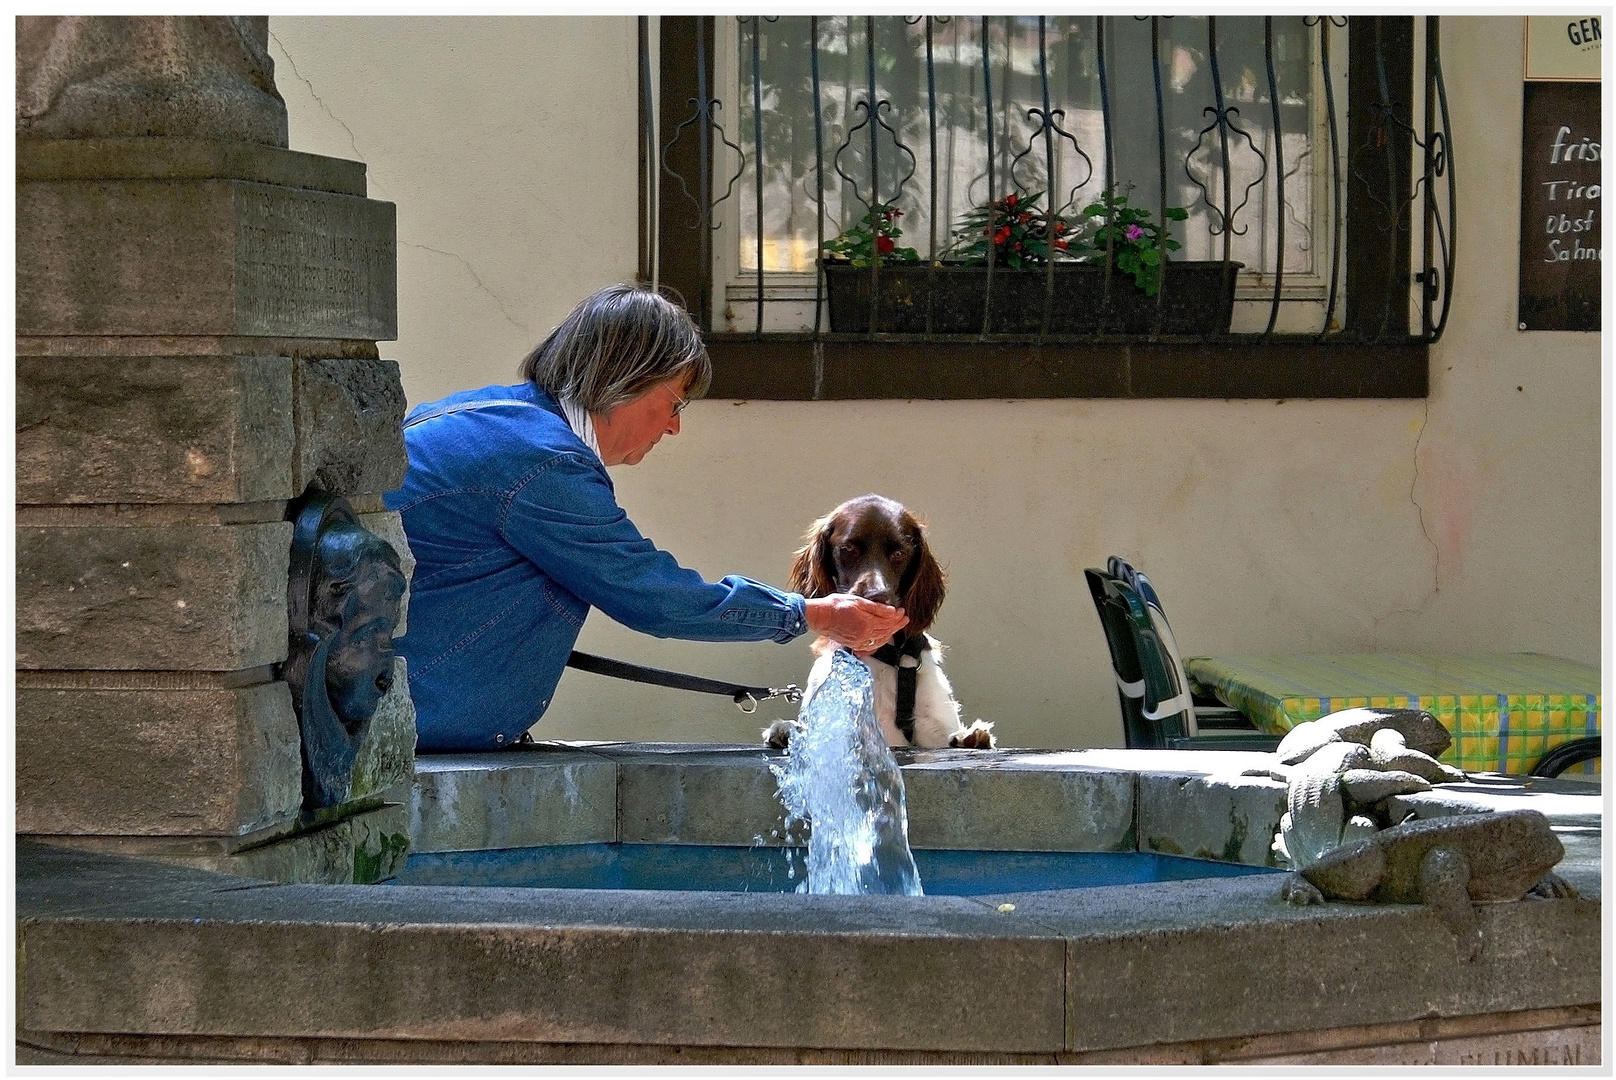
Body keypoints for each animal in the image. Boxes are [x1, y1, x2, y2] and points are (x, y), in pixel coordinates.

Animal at [762, 494, 988, 746]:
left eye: (899, 554)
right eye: (848, 548)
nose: (876, 595)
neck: (882, 653)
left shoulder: (935, 726)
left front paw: (973, 737)